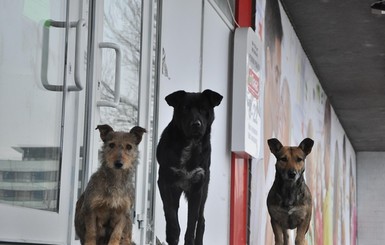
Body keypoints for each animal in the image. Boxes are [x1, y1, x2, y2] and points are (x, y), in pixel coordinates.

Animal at [156, 89, 222, 245]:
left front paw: (188, 239)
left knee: (201, 220)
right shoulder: (165, 182)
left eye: (204, 109)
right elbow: (170, 212)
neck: (190, 143)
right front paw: (172, 235)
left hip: (204, 191)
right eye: (185, 108)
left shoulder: (197, 188)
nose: (196, 124)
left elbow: (192, 223)